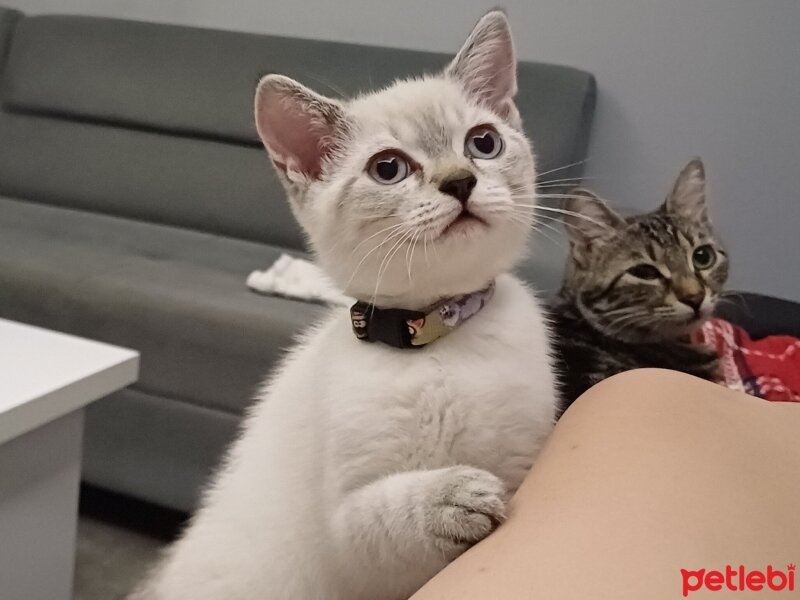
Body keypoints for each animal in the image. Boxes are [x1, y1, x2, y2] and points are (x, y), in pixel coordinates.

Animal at [133, 10, 556, 600]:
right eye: (388, 169)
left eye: (484, 142)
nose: (461, 180)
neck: (437, 332)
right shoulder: (346, 536)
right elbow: (384, 515)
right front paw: (451, 497)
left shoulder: (526, 456)